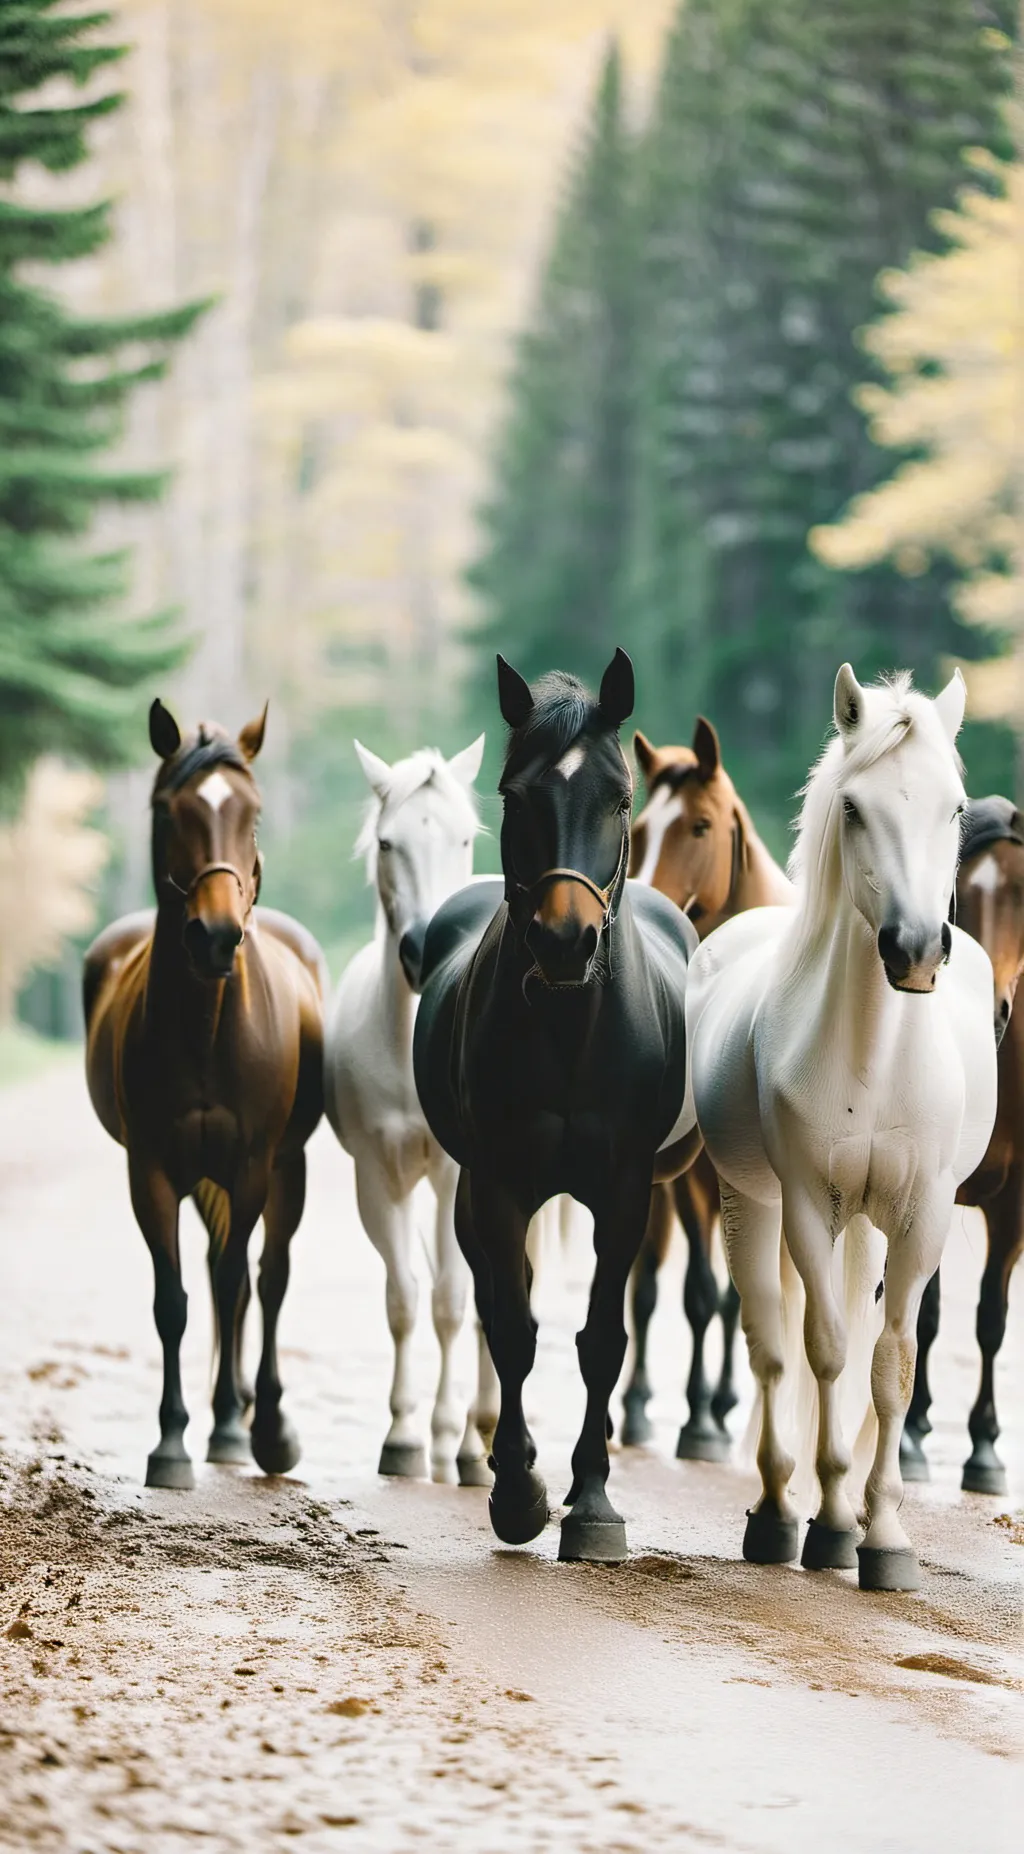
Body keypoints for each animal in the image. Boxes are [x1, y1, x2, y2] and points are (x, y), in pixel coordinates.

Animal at [83, 700, 325, 1490]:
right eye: (170, 810)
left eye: (252, 813)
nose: (217, 935)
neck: (209, 1029)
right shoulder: (153, 1171)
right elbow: (174, 1300)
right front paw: (171, 1441)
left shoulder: (250, 1167)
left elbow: (231, 1284)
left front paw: (233, 1425)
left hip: (285, 1169)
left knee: (264, 1279)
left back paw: (259, 1422)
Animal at [413, 649, 700, 1564]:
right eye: (515, 795)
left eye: (618, 796)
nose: (566, 940)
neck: (573, 1027)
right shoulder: (498, 1184)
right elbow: (512, 1326)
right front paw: (518, 1489)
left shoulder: (626, 1192)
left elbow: (602, 1339)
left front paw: (595, 1501)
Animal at [686, 665, 997, 1591]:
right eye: (856, 808)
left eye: (955, 807)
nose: (917, 950)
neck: (874, 1055)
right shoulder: (806, 1207)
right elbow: (821, 1350)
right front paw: (828, 1524)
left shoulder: (923, 1217)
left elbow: (890, 1364)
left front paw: (883, 1533)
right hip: (753, 1207)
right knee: (769, 1345)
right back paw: (776, 1512)